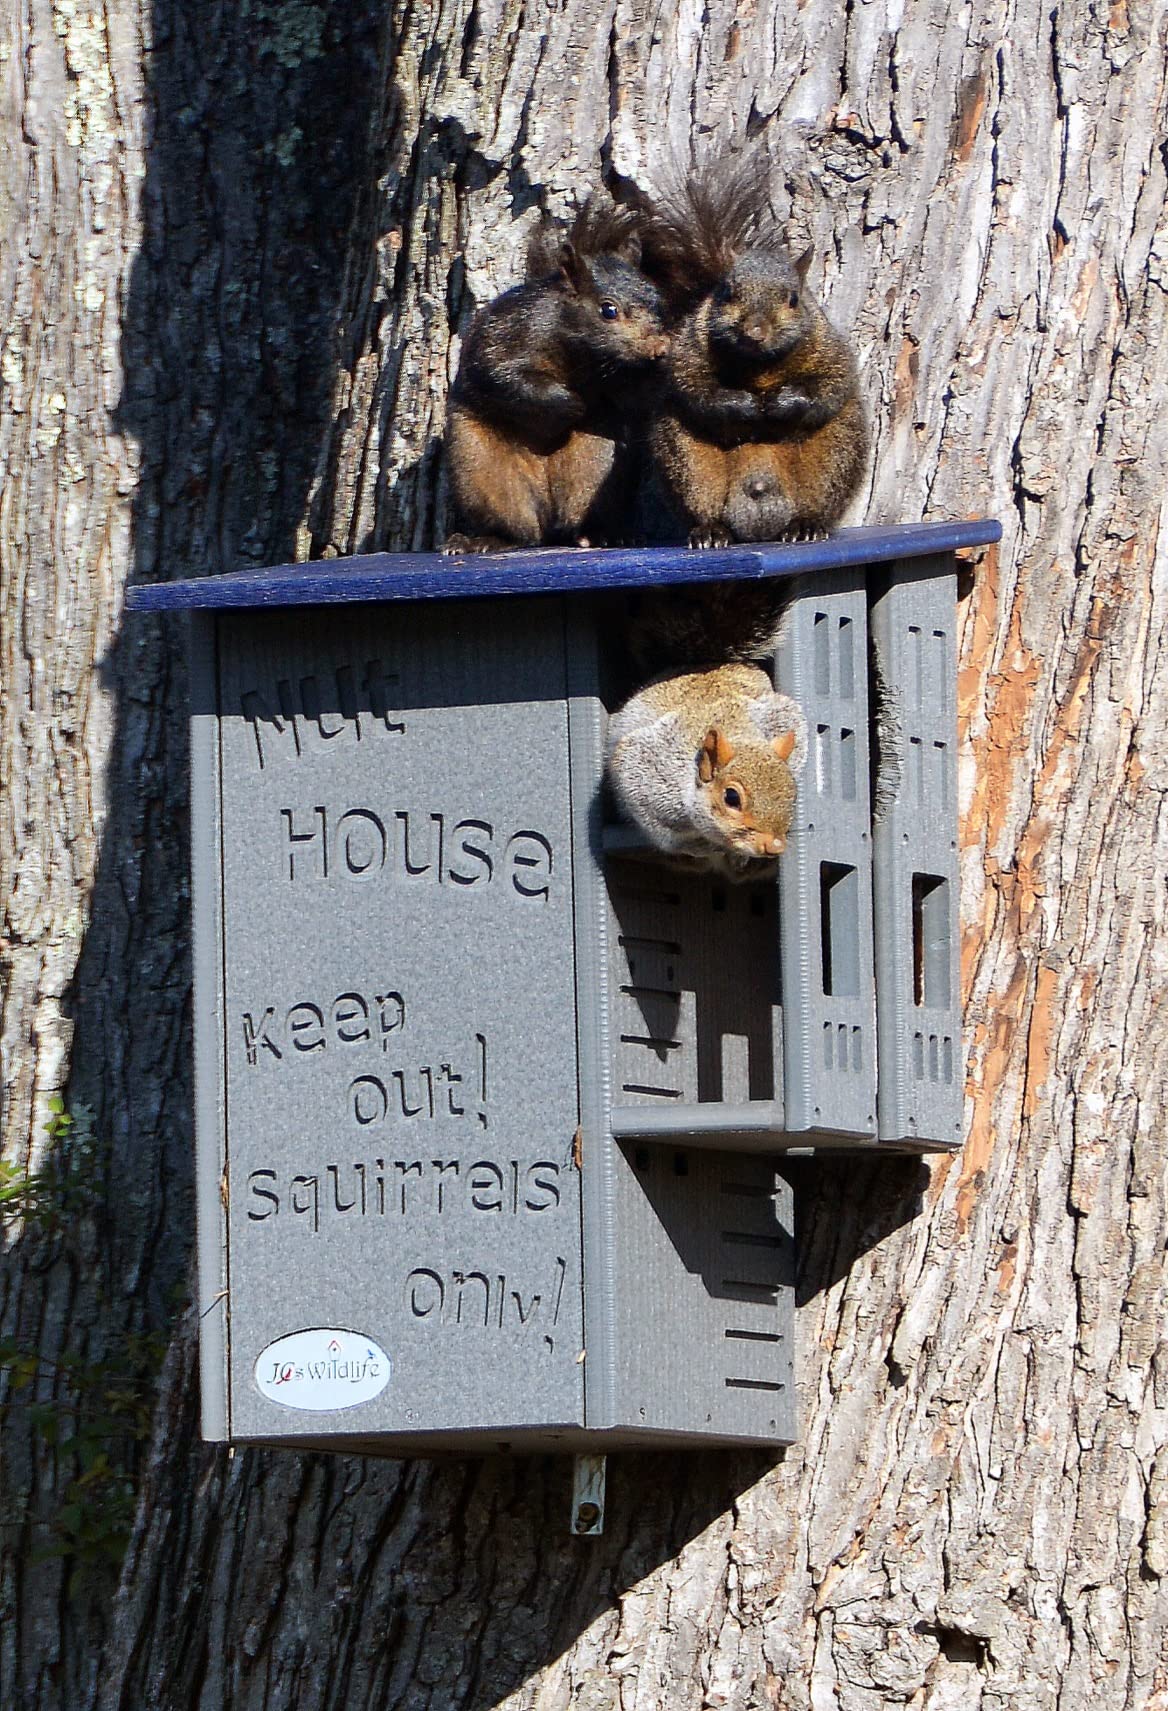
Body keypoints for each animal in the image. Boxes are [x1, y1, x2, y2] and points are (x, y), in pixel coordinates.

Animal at [443, 199, 668, 553]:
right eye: (608, 310)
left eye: (660, 303)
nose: (659, 346)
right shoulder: (505, 340)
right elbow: (507, 380)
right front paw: (574, 403)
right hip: (478, 466)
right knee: (516, 529)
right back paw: (482, 540)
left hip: (596, 463)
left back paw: (605, 534)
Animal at [605, 662, 808, 880]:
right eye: (731, 798)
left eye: (793, 796)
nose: (775, 846)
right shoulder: (645, 775)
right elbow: (662, 833)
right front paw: (699, 847)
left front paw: (740, 856)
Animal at [633, 153, 869, 549]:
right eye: (727, 292)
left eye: (793, 299)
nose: (755, 331)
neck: (761, 367)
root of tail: (760, 520)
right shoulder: (689, 352)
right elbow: (697, 388)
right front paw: (743, 404)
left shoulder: (831, 351)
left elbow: (829, 386)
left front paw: (782, 402)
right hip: (688, 459)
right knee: (704, 501)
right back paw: (711, 531)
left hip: (835, 453)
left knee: (819, 498)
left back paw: (806, 525)